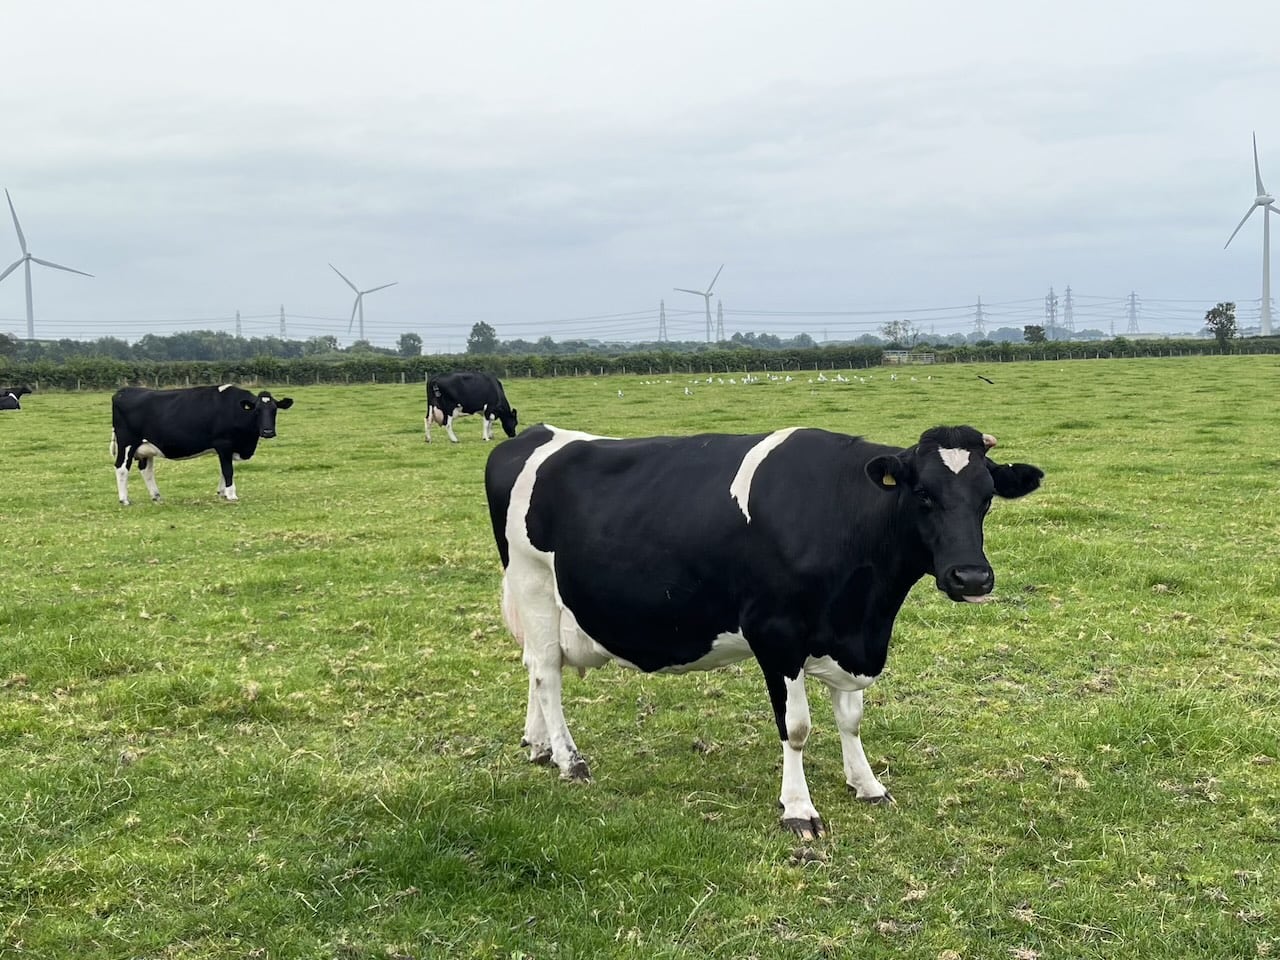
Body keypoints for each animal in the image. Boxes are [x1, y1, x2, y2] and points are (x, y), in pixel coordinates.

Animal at [110, 386, 294, 506]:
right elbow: (228, 470)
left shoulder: (230, 448)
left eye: (274, 410)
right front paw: (231, 495)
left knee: (146, 470)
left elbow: (225, 469)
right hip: (127, 442)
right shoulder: (224, 444)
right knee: (121, 468)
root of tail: (123, 391)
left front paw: (222, 493)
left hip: (146, 447)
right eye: (257, 410)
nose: (268, 431)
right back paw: (124, 499)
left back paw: (156, 496)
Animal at [483, 424, 1044, 839]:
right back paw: (569, 759)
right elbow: (796, 727)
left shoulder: (849, 639)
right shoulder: (776, 634)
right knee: (548, 673)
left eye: (987, 498)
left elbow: (851, 719)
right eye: (922, 494)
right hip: (534, 583)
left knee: (535, 666)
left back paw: (538, 745)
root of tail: (533, 434)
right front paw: (798, 809)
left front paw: (866, 784)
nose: (971, 577)